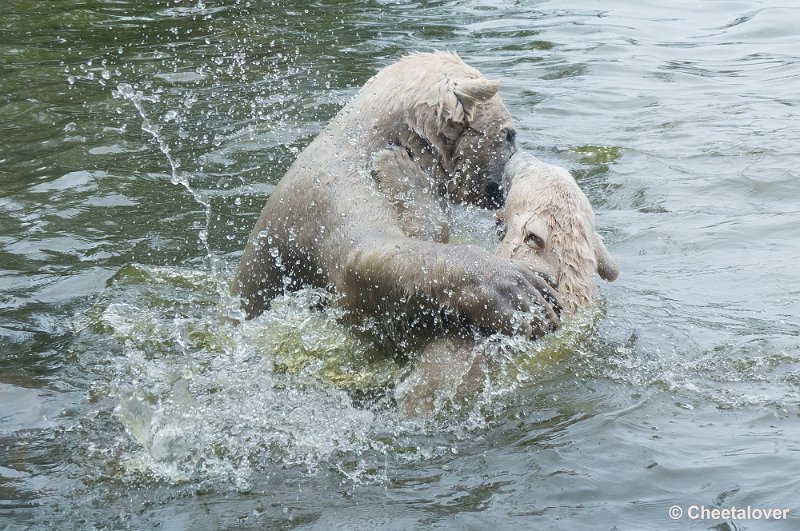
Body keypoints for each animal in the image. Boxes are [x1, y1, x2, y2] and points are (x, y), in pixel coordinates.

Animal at [231, 51, 560, 340]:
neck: (367, 143)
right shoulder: (335, 197)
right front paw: (517, 289)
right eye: (509, 134)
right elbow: (368, 261)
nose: (508, 181)